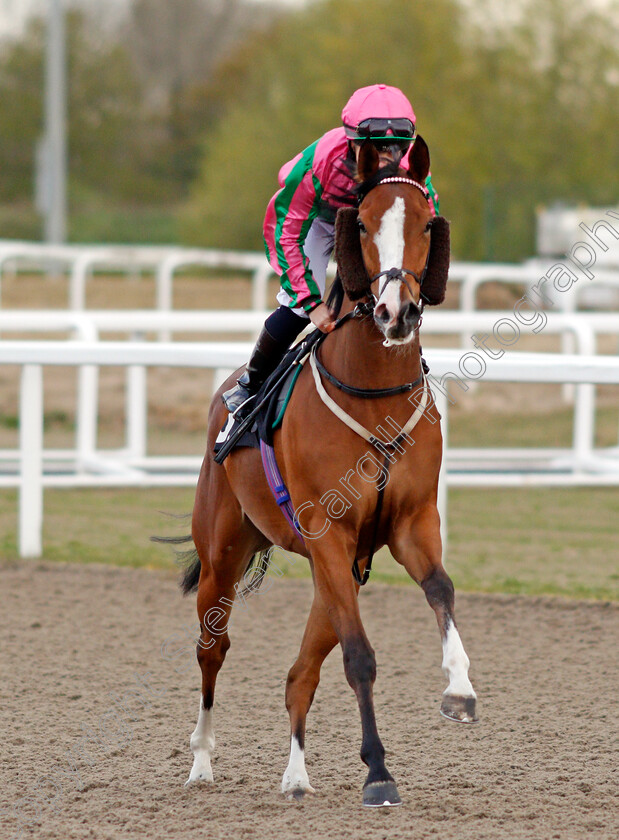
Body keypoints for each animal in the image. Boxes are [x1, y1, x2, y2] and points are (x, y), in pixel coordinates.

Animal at [180, 138, 480, 808]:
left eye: (427, 224)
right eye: (362, 224)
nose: (397, 312)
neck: (374, 394)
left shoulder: (410, 525)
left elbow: (442, 589)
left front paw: (459, 689)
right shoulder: (329, 531)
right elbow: (361, 658)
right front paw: (378, 772)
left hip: (332, 572)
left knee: (300, 672)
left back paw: (295, 775)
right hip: (224, 555)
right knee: (213, 648)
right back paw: (202, 760)